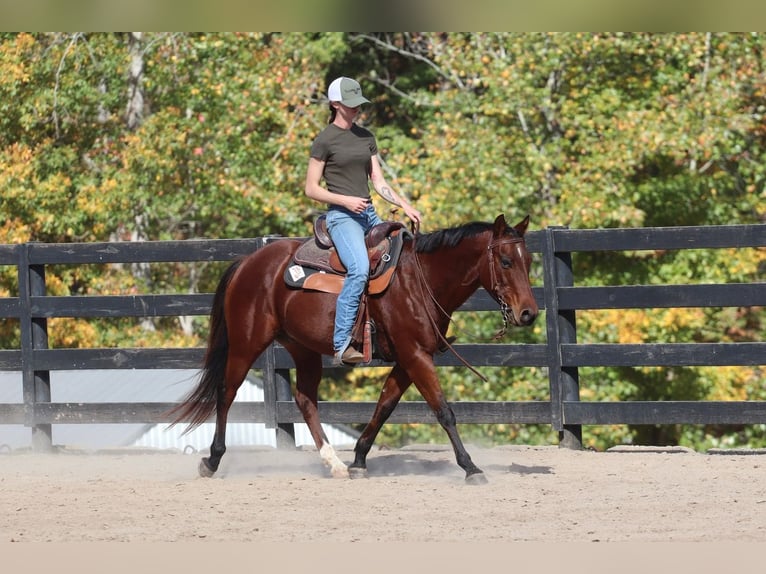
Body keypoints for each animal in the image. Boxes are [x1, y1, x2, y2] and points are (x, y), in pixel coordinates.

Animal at [170, 214, 540, 484]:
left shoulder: (408, 360)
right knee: (226, 392)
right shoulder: (415, 356)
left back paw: (334, 463)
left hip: (302, 349)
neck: (420, 281)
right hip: (247, 344)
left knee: (305, 399)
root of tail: (248, 263)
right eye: (505, 261)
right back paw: (213, 460)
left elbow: (384, 406)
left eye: (528, 261)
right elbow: (443, 411)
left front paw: (360, 459)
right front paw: (470, 467)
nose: (528, 313)